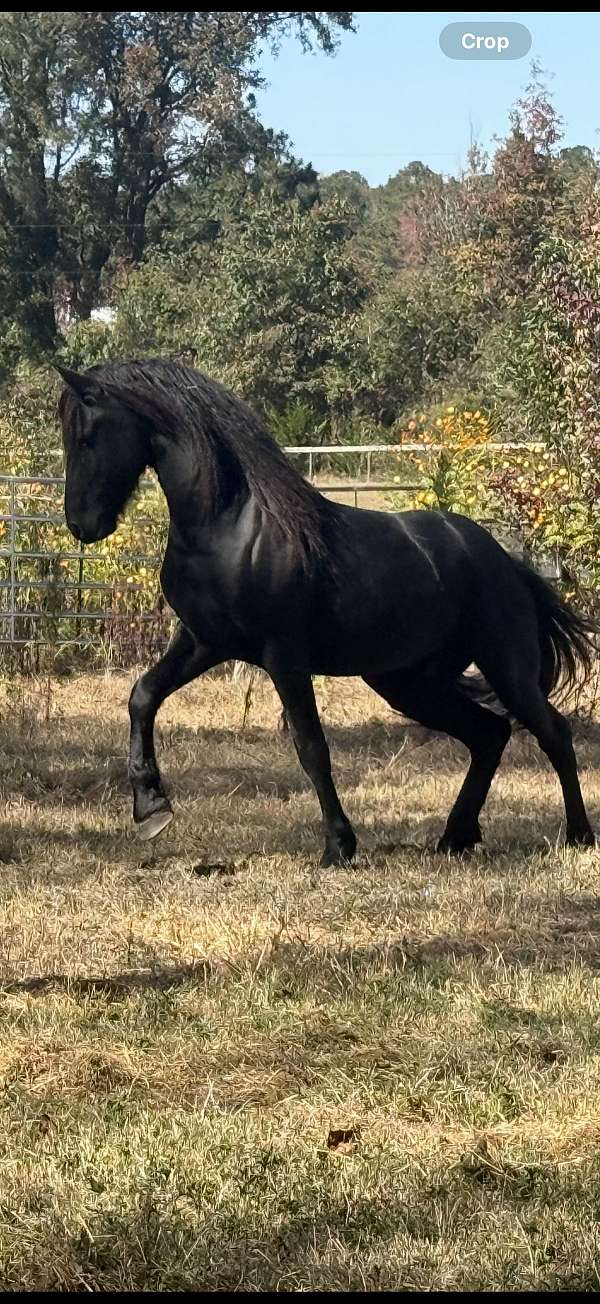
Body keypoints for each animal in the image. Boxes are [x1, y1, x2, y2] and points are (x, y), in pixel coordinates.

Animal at [56, 358, 596, 865]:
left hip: (505, 667)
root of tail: (504, 561)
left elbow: (311, 747)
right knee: (489, 734)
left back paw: (577, 835)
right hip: (409, 683)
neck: (230, 527)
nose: (82, 525)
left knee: (552, 732)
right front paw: (151, 809)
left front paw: (339, 845)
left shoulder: (284, 657)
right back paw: (455, 837)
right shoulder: (203, 643)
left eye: (86, 437)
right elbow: (143, 696)